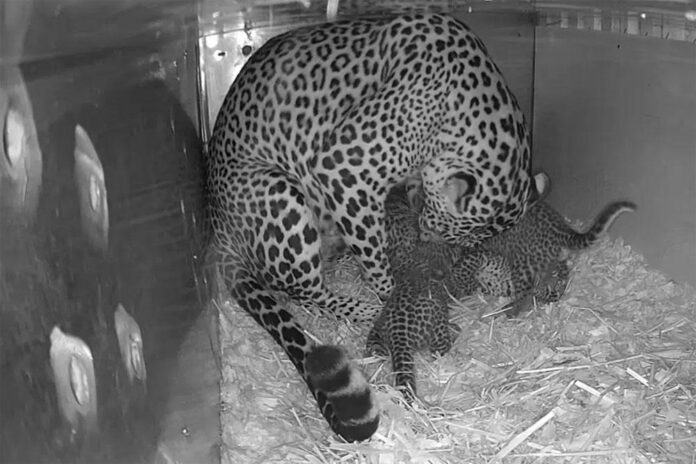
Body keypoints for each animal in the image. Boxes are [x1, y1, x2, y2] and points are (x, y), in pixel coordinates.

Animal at [205, 13, 537, 441]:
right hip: (279, 194)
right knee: (300, 290)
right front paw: (391, 298)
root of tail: (218, 229)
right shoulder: (343, 170)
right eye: (440, 232)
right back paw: (360, 306)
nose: (434, 250)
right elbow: (374, 254)